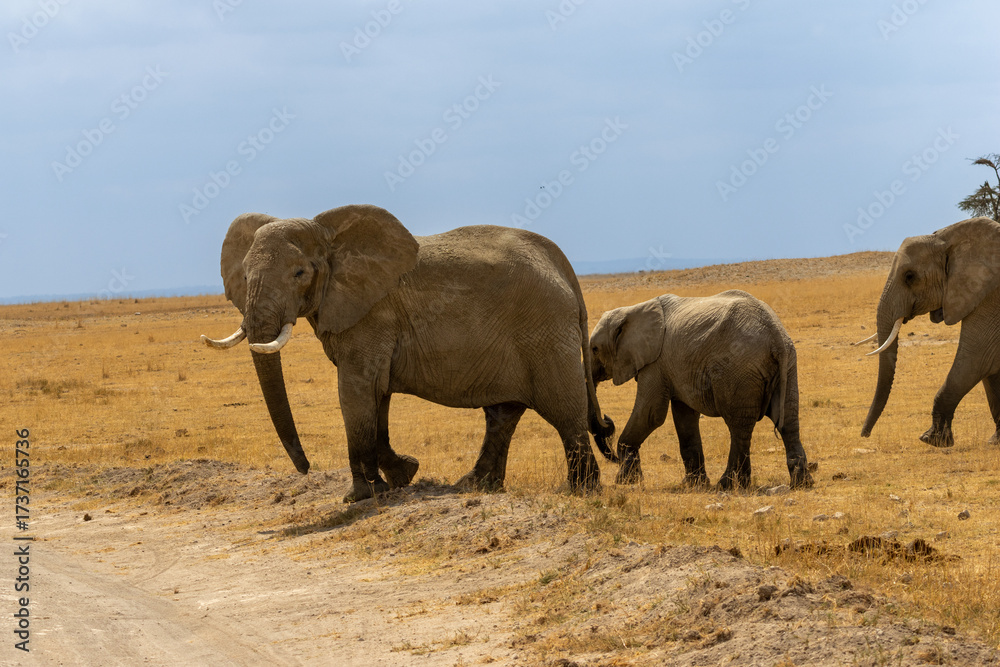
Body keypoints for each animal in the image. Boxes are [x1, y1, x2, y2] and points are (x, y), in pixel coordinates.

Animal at [201, 204, 616, 502]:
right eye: (243, 275)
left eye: (300, 273)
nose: (305, 469)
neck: (330, 234)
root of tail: (563, 268)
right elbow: (377, 395)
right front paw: (401, 476)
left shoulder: (371, 316)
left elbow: (356, 392)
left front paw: (359, 497)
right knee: (503, 413)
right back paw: (474, 487)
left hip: (544, 332)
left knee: (564, 412)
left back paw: (582, 493)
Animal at [589, 290, 813, 490]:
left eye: (594, 349)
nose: (607, 420)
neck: (633, 309)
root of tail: (775, 335)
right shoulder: (676, 366)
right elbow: (684, 416)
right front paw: (693, 484)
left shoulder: (656, 362)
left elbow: (651, 414)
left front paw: (626, 481)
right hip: (788, 366)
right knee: (788, 422)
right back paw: (801, 483)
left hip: (738, 369)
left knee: (739, 427)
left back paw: (727, 485)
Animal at [860, 217, 1000, 448]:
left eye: (909, 277)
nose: (864, 434)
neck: (947, 239)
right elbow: (990, 368)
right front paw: (995, 441)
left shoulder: (991, 296)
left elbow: (977, 358)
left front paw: (932, 440)